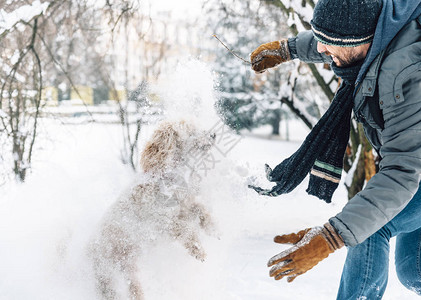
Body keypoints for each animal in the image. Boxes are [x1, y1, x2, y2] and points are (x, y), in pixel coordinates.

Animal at [88, 120, 213, 298]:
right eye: (190, 131)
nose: (213, 135)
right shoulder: (161, 223)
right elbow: (186, 229)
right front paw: (198, 250)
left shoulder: (183, 208)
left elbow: (199, 209)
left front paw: (213, 228)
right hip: (108, 270)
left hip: (128, 266)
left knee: (132, 286)